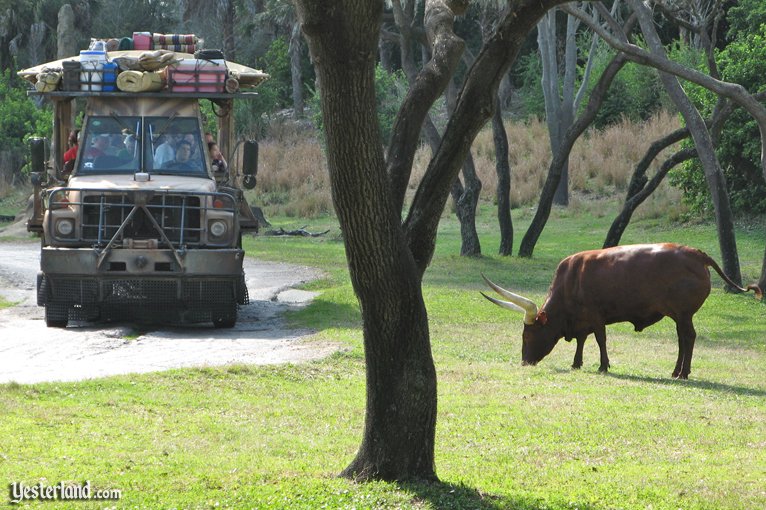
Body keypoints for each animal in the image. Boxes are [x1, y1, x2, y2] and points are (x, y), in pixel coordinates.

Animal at [484, 243, 764, 378]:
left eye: (528, 335)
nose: (525, 362)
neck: (570, 280)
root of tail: (696, 254)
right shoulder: (582, 320)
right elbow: (582, 340)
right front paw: (577, 363)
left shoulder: (595, 316)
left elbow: (600, 339)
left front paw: (603, 365)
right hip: (678, 316)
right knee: (682, 339)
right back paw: (675, 371)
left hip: (684, 314)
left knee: (689, 338)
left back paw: (683, 373)